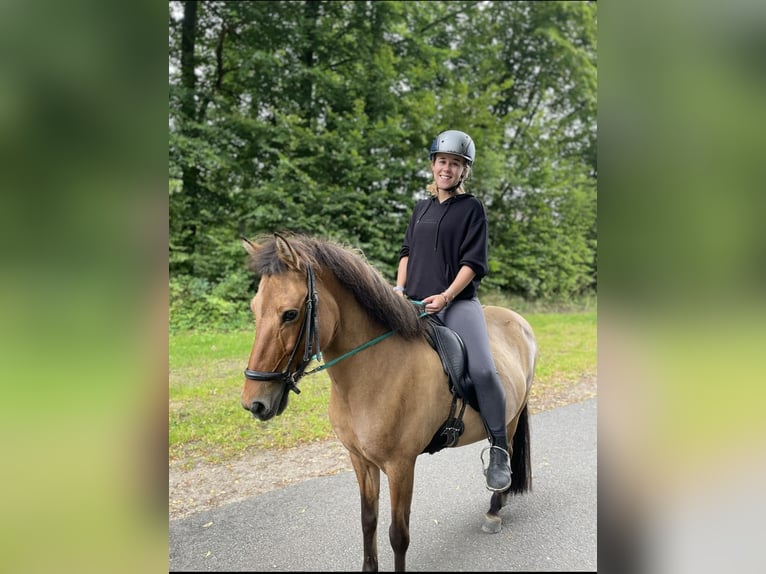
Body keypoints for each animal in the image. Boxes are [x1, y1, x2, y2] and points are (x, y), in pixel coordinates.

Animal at [243, 233, 536, 572]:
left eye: (289, 314)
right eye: (254, 309)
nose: (254, 403)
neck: (373, 375)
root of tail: (517, 320)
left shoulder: (401, 466)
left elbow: (398, 534)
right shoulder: (360, 460)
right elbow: (367, 520)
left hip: (510, 418)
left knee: (506, 449)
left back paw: (495, 508)